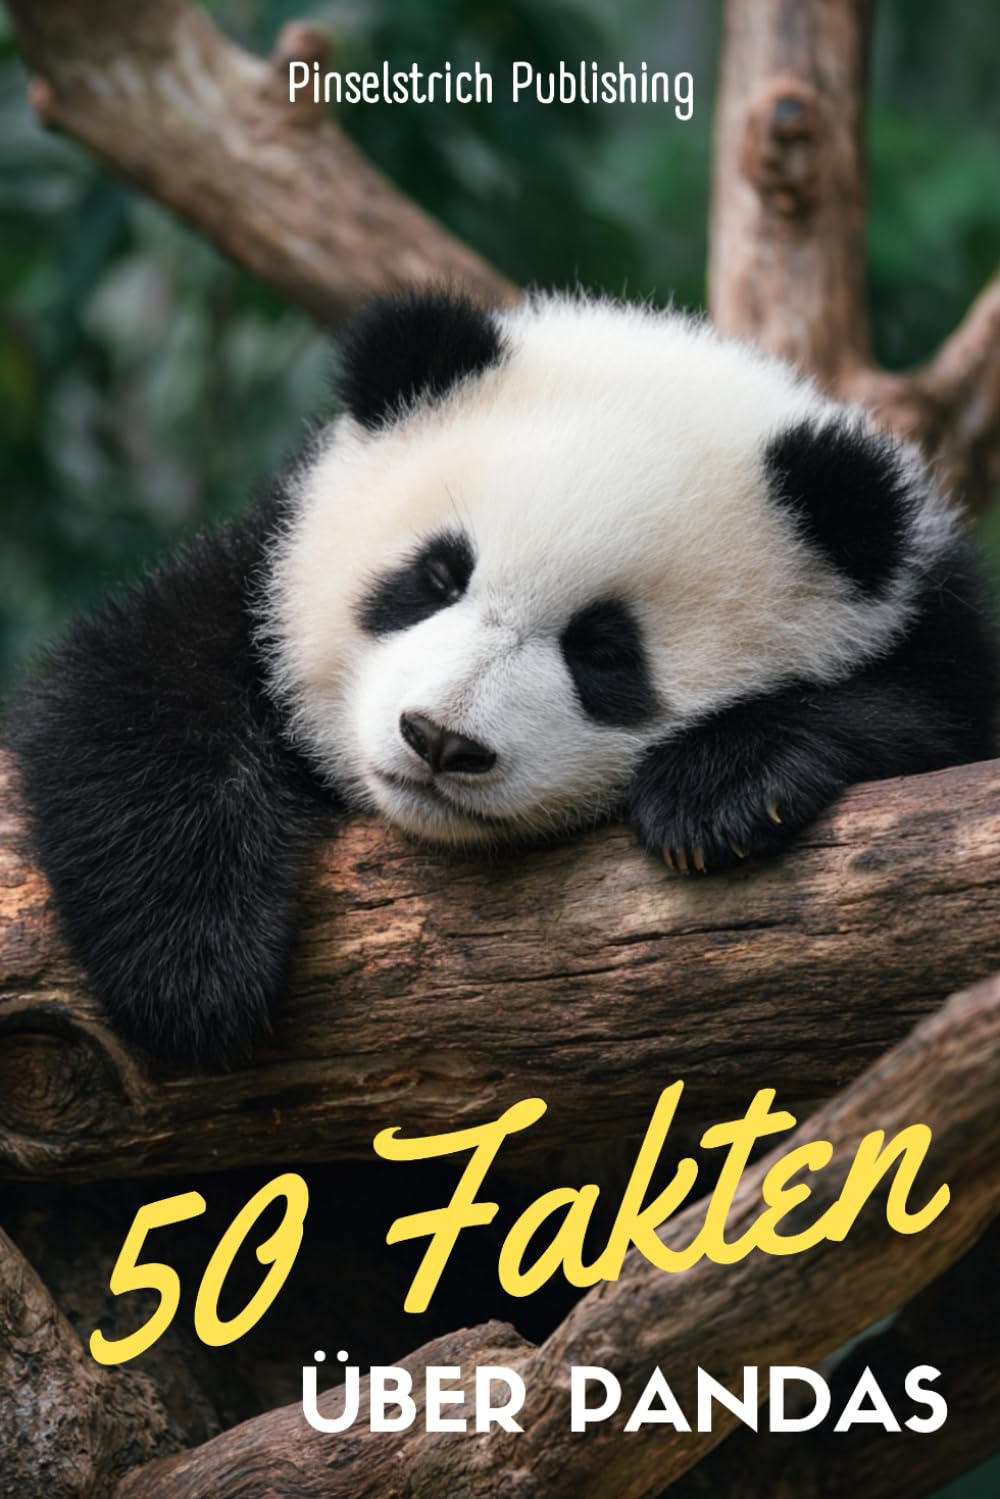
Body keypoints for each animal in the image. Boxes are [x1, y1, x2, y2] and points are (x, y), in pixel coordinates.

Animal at [6, 291, 997, 1066]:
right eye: (438, 577)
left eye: (604, 651)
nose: (440, 740)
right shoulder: (259, 578)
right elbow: (135, 690)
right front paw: (195, 968)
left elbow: (937, 724)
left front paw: (723, 787)